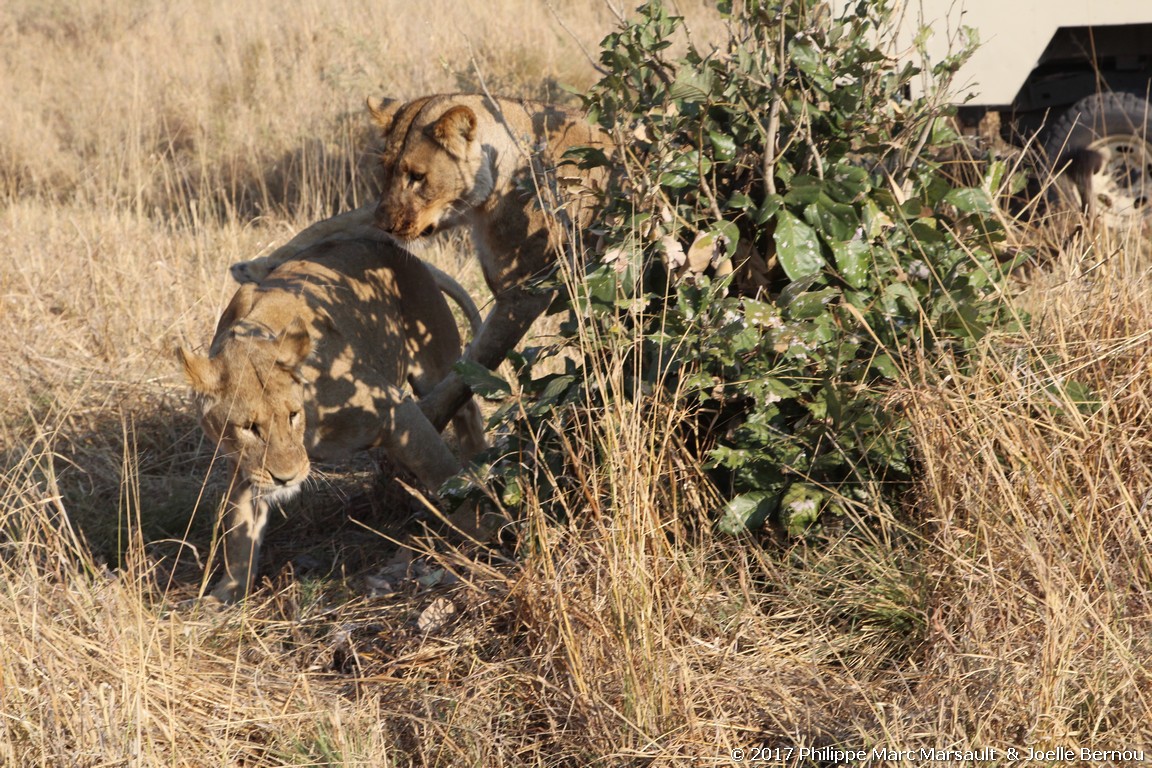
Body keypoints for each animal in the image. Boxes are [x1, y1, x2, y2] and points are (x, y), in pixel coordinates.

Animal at [179, 234, 486, 607]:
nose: (286, 478)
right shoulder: (245, 463)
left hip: (434, 356)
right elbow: (238, 524)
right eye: (249, 428)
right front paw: (228, 592)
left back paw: (480, 465)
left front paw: (488, 529)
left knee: (466, 405)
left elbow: (440, 470)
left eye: (292, 415)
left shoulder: (394, 409)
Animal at [229, 93, 617, 432]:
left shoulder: (523, 292)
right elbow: (334, 222)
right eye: (385, 170)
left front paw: (429, 416)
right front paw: (257, 265)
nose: (386, 225)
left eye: (418, 176)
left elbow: (472, 366)